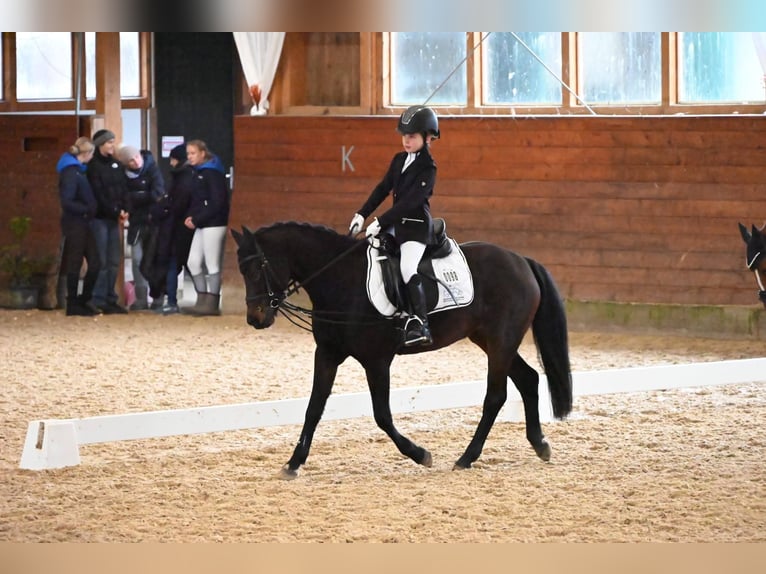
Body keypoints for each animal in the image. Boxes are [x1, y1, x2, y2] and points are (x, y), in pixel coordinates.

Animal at [231, 223, 572, 480]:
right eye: (241, 270)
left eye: (257, 268)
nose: (255, 318)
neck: (341, 280)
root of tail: (521, 260)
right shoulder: (327, 354)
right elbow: (313, 409)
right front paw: (293, 463)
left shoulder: (376, 360)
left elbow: (382, 414)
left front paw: (420, 454)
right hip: (490, 340)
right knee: (528, 379)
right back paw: (540, 444)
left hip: (501, 340)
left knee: (496, 396)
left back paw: (466, 457)